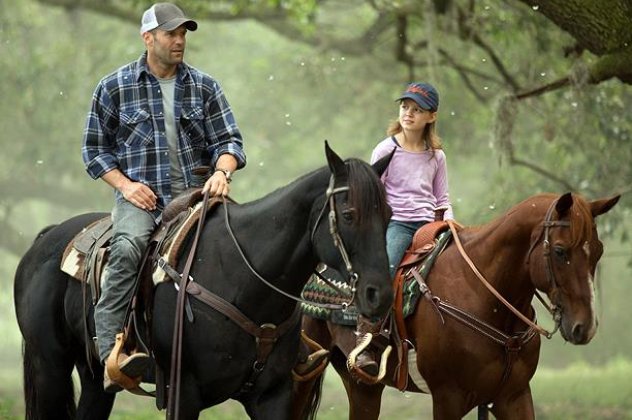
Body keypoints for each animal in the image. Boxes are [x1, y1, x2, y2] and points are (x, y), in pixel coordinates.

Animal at [14, 143, 396, 418]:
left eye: (390, 213)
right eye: (349, 214)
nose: (378, 294)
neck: (243, 280)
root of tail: (44, 239)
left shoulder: (273, 395)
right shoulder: (183, 394)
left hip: (93, 378)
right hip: (49, 367)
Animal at [294, 193, 620, 420]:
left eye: (599, 250)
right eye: (561, 251)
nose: (585, 327)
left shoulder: (513, 395)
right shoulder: (448, 397)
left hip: (363, 385)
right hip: (307, 367)